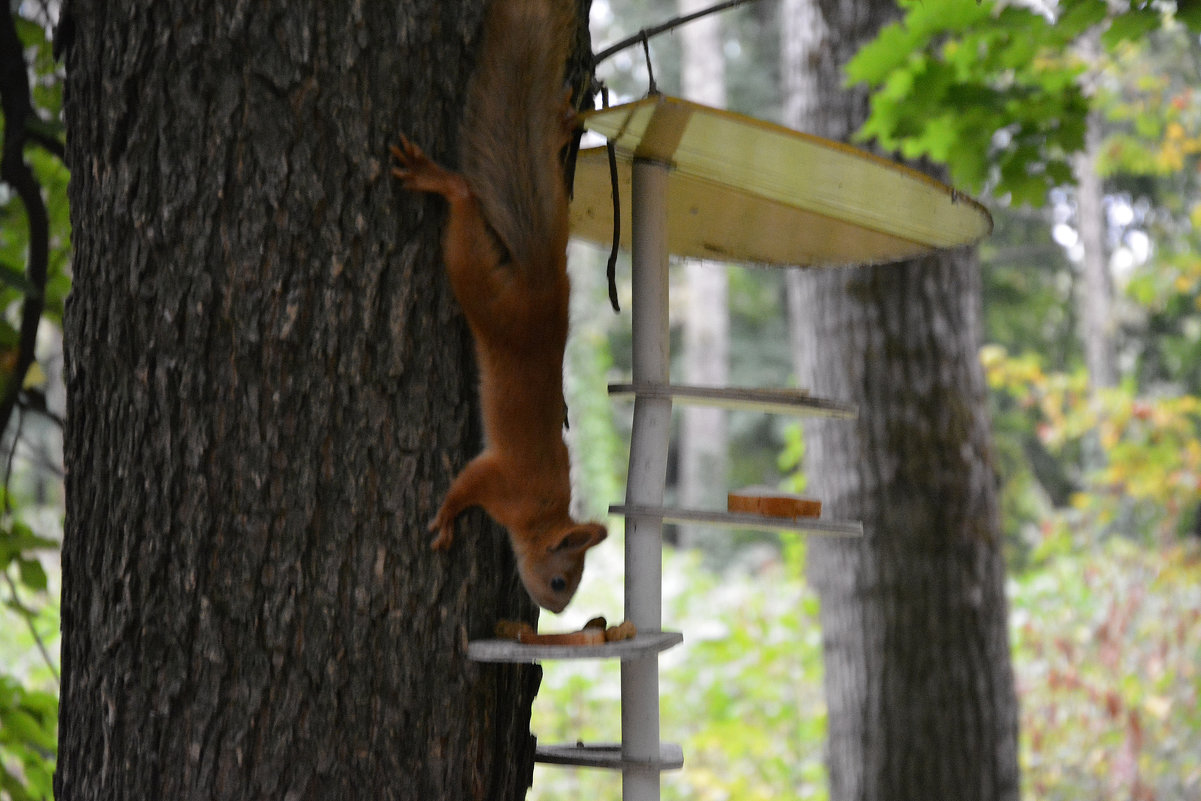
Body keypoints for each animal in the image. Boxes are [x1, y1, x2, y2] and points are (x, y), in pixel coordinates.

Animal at [391, 0, 605, 614]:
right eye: (560, 581)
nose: (555, 612)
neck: (542, 512)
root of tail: (543, 283)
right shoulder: (502, 481)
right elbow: (465, 486)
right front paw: (444, 518)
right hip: (482, 289)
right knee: (465, 199)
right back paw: (441, 178)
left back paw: (558, 125)